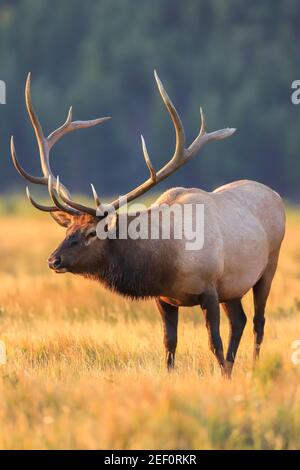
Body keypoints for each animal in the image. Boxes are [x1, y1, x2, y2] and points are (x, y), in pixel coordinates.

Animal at [10, 71, 284, 376]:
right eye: (68, 229)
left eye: (92, 232)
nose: (53, 260)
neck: (169, 260)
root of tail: (276, 195)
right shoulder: (164, 298)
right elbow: (169, 344)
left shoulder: (211, 289)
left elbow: (214, 342)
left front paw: (222, 376)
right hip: (233, 287)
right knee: (240, 320)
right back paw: (234, 367)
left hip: (267, 268)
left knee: (258, 322)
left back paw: (254, 366)